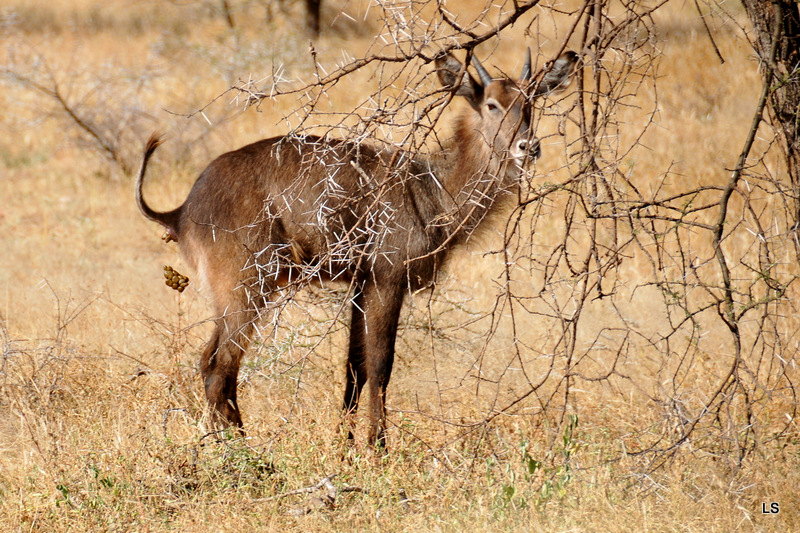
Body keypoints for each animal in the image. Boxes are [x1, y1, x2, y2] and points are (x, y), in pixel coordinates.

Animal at [136, 48, 576, 444]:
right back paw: (242, 452)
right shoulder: (387, 281)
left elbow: (354, 367)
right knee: (220, 366)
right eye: (492, 104)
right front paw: (378, 450)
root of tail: (181, 210)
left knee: (210, 362)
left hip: (237, 294)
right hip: (246, 288)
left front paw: (343, 446)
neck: (433, 190)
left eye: (531, 102)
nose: (528, 146)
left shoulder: (360, 286)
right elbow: (381, 365)